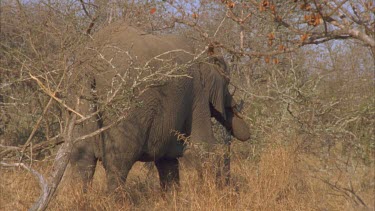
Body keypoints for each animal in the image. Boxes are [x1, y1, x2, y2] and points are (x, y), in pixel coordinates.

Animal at [69, 22, 251, 192]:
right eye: (227, 82)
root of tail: (91, 64)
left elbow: (167, 162)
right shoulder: (197, 95)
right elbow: (204, 146)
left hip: (81, 94)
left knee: (81, 159)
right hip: (126, 103)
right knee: (118, 161)